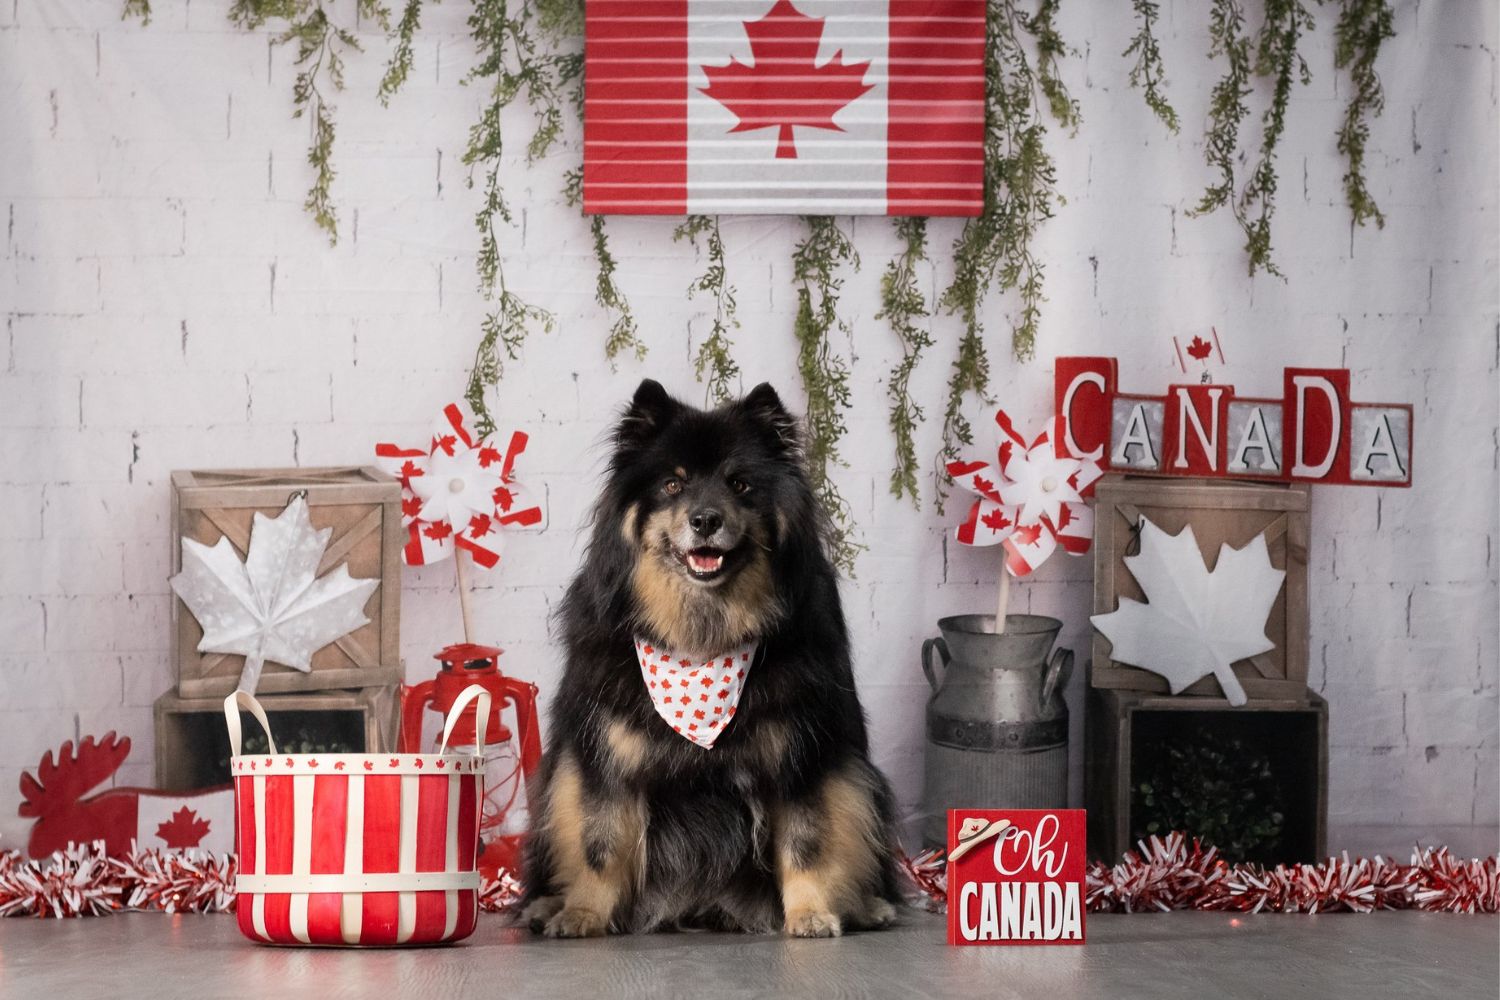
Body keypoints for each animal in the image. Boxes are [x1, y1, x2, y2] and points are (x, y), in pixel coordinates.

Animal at [522, 379, 900, 935]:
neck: (700, 642)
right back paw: (545, 905)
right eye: (672, 485)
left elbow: (806, 843)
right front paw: (583, 914)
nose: (705, 520)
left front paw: (811, 914)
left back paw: (867, 905)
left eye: (739, 484)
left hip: (860, 777)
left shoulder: (799, 756)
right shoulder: (605, 760)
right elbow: (599, 844)